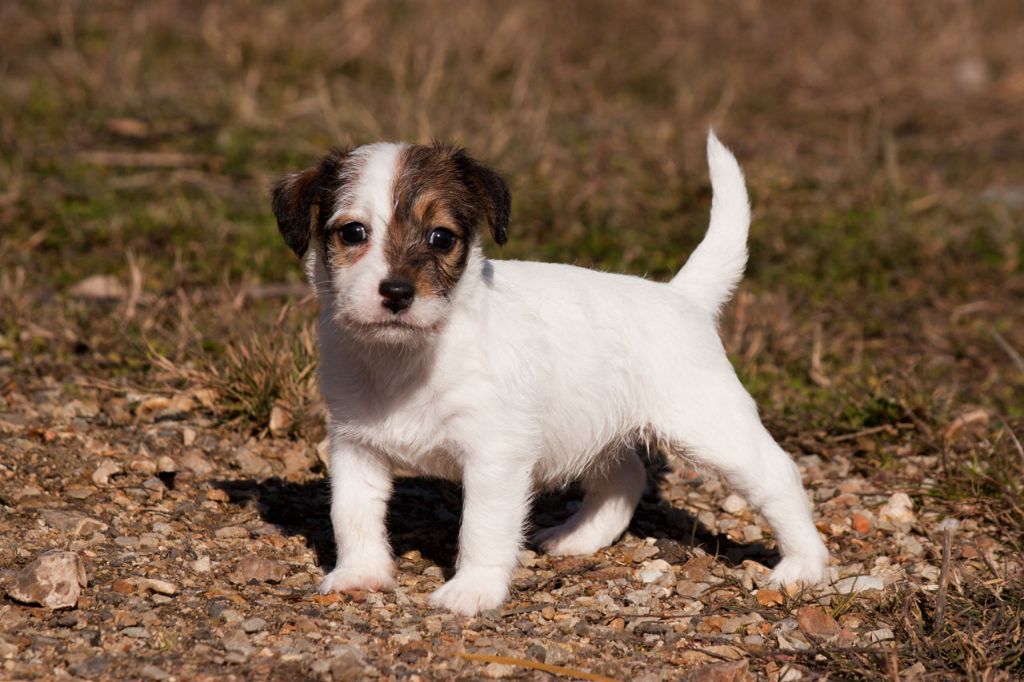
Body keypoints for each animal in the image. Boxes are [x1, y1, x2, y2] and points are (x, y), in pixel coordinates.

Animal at [271, 133, 830, 615]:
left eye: (441, 237)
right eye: (353, 232)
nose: (397, 293)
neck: (408, 357)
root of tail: (682, 296)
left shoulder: (495, 457)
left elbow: (482, 527)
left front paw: (472, 590)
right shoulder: (355, 446)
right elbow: (352, 515)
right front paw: (359, 574)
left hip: (712, 428)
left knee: (779, 475)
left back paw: (803, 566)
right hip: (594, 426)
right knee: (625, 477)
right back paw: (578, 538)